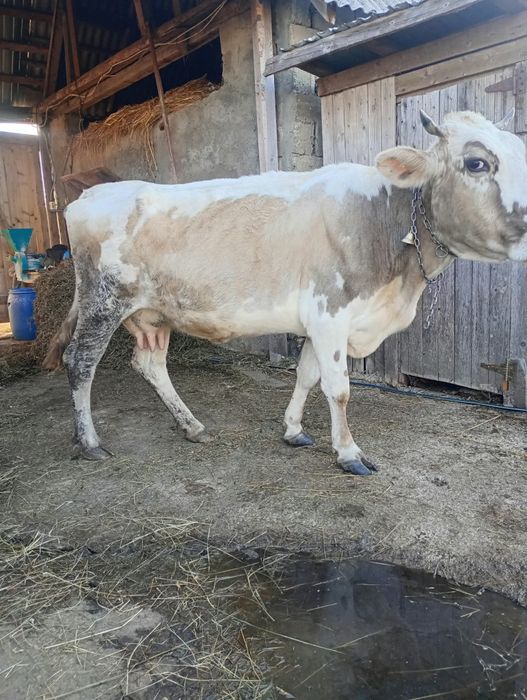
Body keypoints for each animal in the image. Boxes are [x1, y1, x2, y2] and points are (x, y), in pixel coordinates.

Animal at [44, 109, 527, 475]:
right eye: (477, 163)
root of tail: (87, 196)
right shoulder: (330, 313)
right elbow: (338, 387)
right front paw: (349, 452)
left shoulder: (318, 320)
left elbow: (307, 376)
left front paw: (293, 430)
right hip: (103, 301)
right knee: (80, 361)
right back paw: (89, 441)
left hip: (153, 313)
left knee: (150, 364)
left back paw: (192, 425)